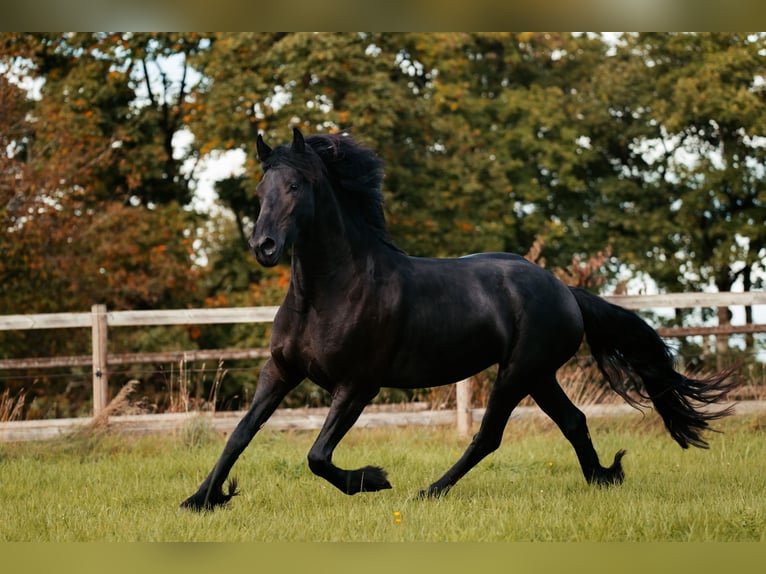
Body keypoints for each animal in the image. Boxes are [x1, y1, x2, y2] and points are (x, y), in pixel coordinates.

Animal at [180, 128, 735, 511]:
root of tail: (564, 290)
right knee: (573, 421)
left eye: (296, 184)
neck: (328, 293)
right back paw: (602, 477)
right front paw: (201, 500)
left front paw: (374, 479)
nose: (264, 247)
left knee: (488, 436)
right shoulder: (280, 371)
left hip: (516, 373)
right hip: (538, 375)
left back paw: (428, 492)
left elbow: (317, 455)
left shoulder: (358, 384)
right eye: (259, 190)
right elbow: (240, 433)